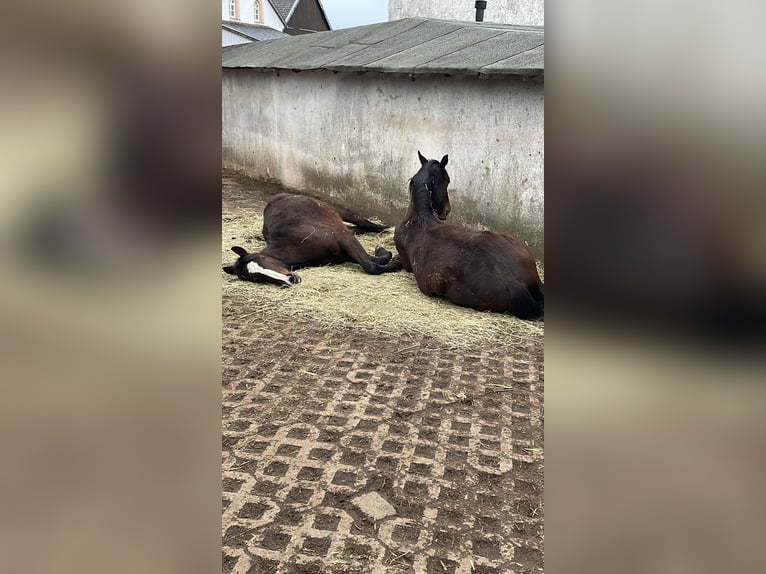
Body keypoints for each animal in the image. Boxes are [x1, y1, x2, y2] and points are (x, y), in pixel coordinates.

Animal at [224, 192, 402, 286]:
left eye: (263, 259)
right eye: (255, 278)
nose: (290, 279)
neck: (295, 244)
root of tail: (278, 196)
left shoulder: (343, 238)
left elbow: (370, 265)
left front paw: (395, 261)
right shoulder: (343, 251)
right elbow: (372, 261)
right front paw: (387, 255)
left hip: (338, 211)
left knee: (365, 223)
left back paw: (388, 229)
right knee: (356, 229)